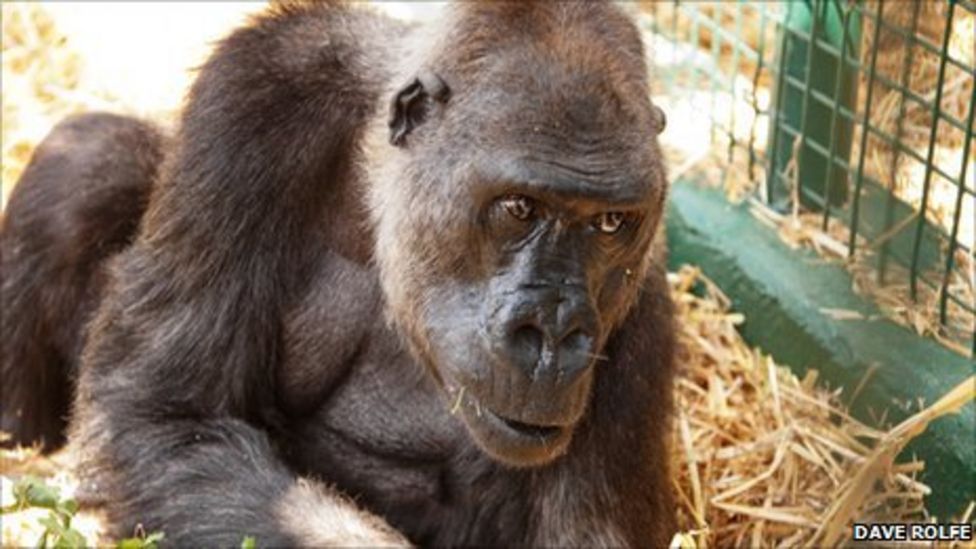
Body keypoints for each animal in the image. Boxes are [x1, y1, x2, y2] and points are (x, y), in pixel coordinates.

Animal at [3, 2, 676, 545]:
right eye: (518, 208)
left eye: (611, 223)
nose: (556, 332)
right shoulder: (257, 92)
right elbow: (163, 415)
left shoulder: (642, 314)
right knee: (90, 162)